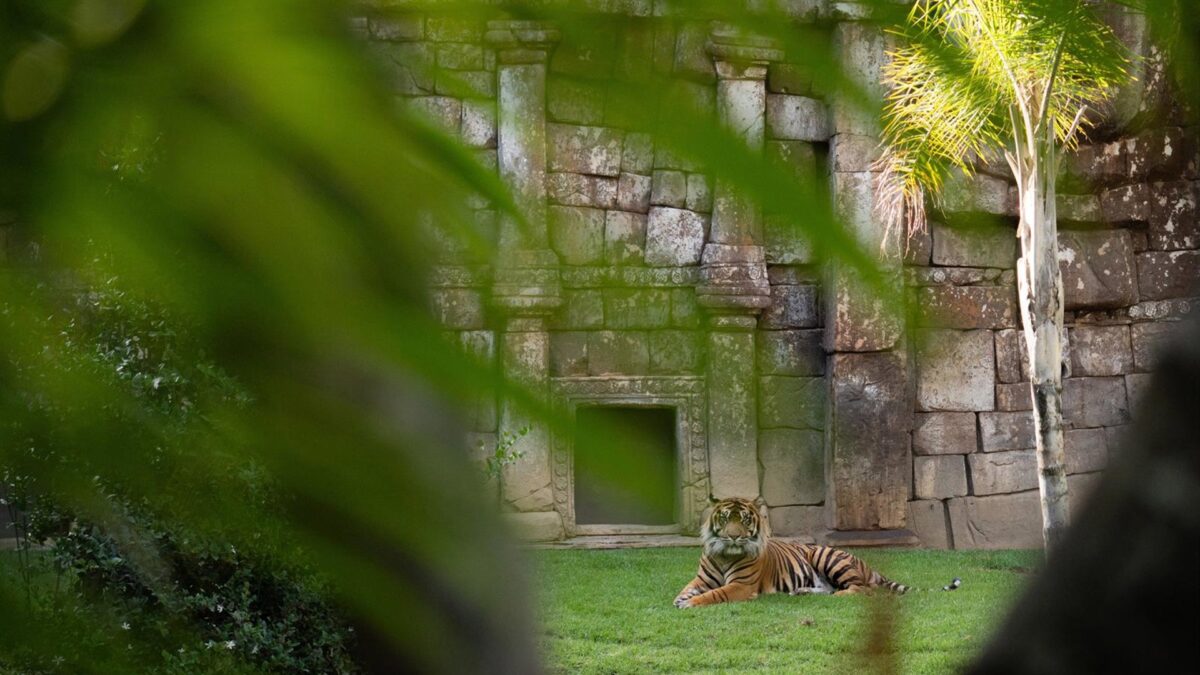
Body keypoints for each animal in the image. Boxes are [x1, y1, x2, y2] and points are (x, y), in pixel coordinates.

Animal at [674, 497, 960, 608]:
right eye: (724, 518)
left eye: (744, 520)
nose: (733, 536)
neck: (725, 554)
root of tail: (868, 566)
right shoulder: (701, 579)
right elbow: (689, 587)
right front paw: (681, 598)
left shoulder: (741, 586)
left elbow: (716, 594)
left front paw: (690, 603)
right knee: (829, 589)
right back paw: (801, 592)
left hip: (827, 557)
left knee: (861, 590)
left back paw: (840, 594)